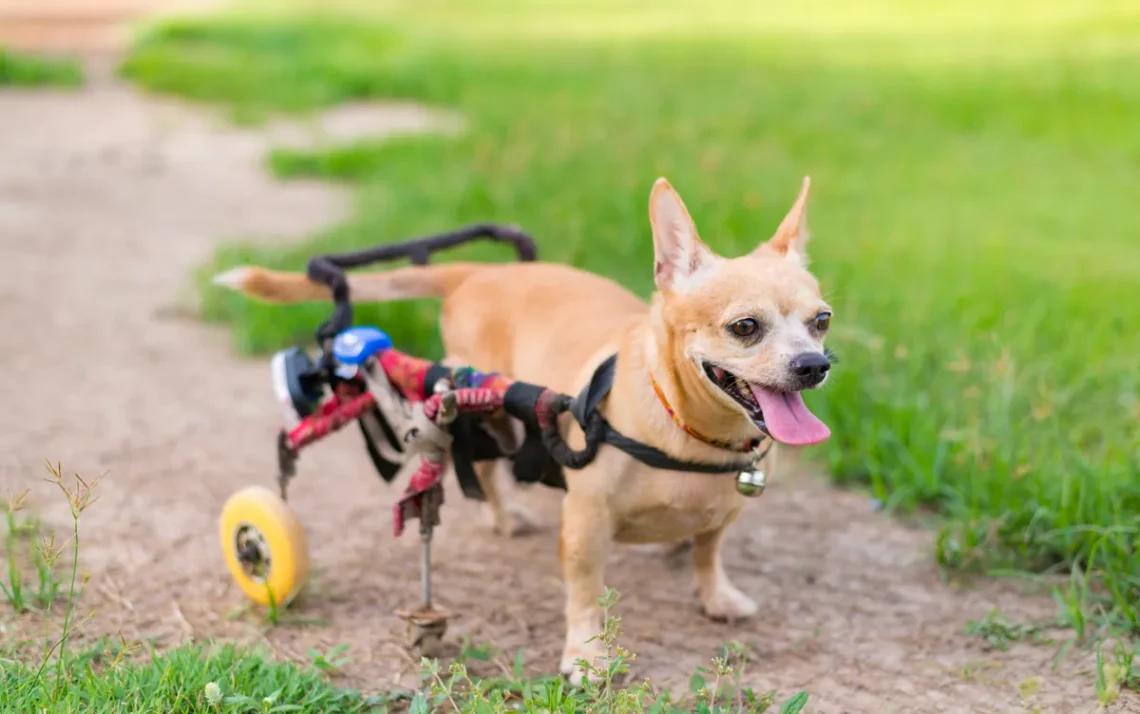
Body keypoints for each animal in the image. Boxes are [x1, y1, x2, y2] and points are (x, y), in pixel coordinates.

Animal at [215, 176, 839, 679]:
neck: (689, 431)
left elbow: (709, 549)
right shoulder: (585, 521)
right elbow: (586, 591)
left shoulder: (724, 511)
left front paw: (716, 594)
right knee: (485, 469)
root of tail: (482, 271)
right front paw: (586, 655)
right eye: (745, 327)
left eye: (822, 321)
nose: (815, 365)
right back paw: (502, 515)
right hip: (478, 403)